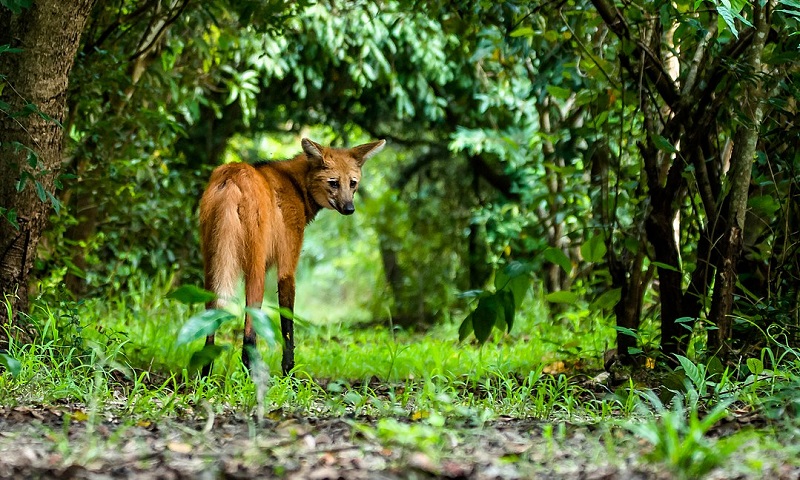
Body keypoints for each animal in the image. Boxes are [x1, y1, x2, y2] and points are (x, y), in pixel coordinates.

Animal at [200, 138, 388, 376]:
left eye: (352, 183)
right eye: (334, 183)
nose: (349, 208)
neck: (297, 187)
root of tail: (232, 175)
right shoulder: (287, 267)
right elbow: (287, 325)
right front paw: (290, 374)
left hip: (213, 262)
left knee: (209, 320)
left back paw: (205, 375)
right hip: (254, 268)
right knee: (250, 328)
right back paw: (249, 374)